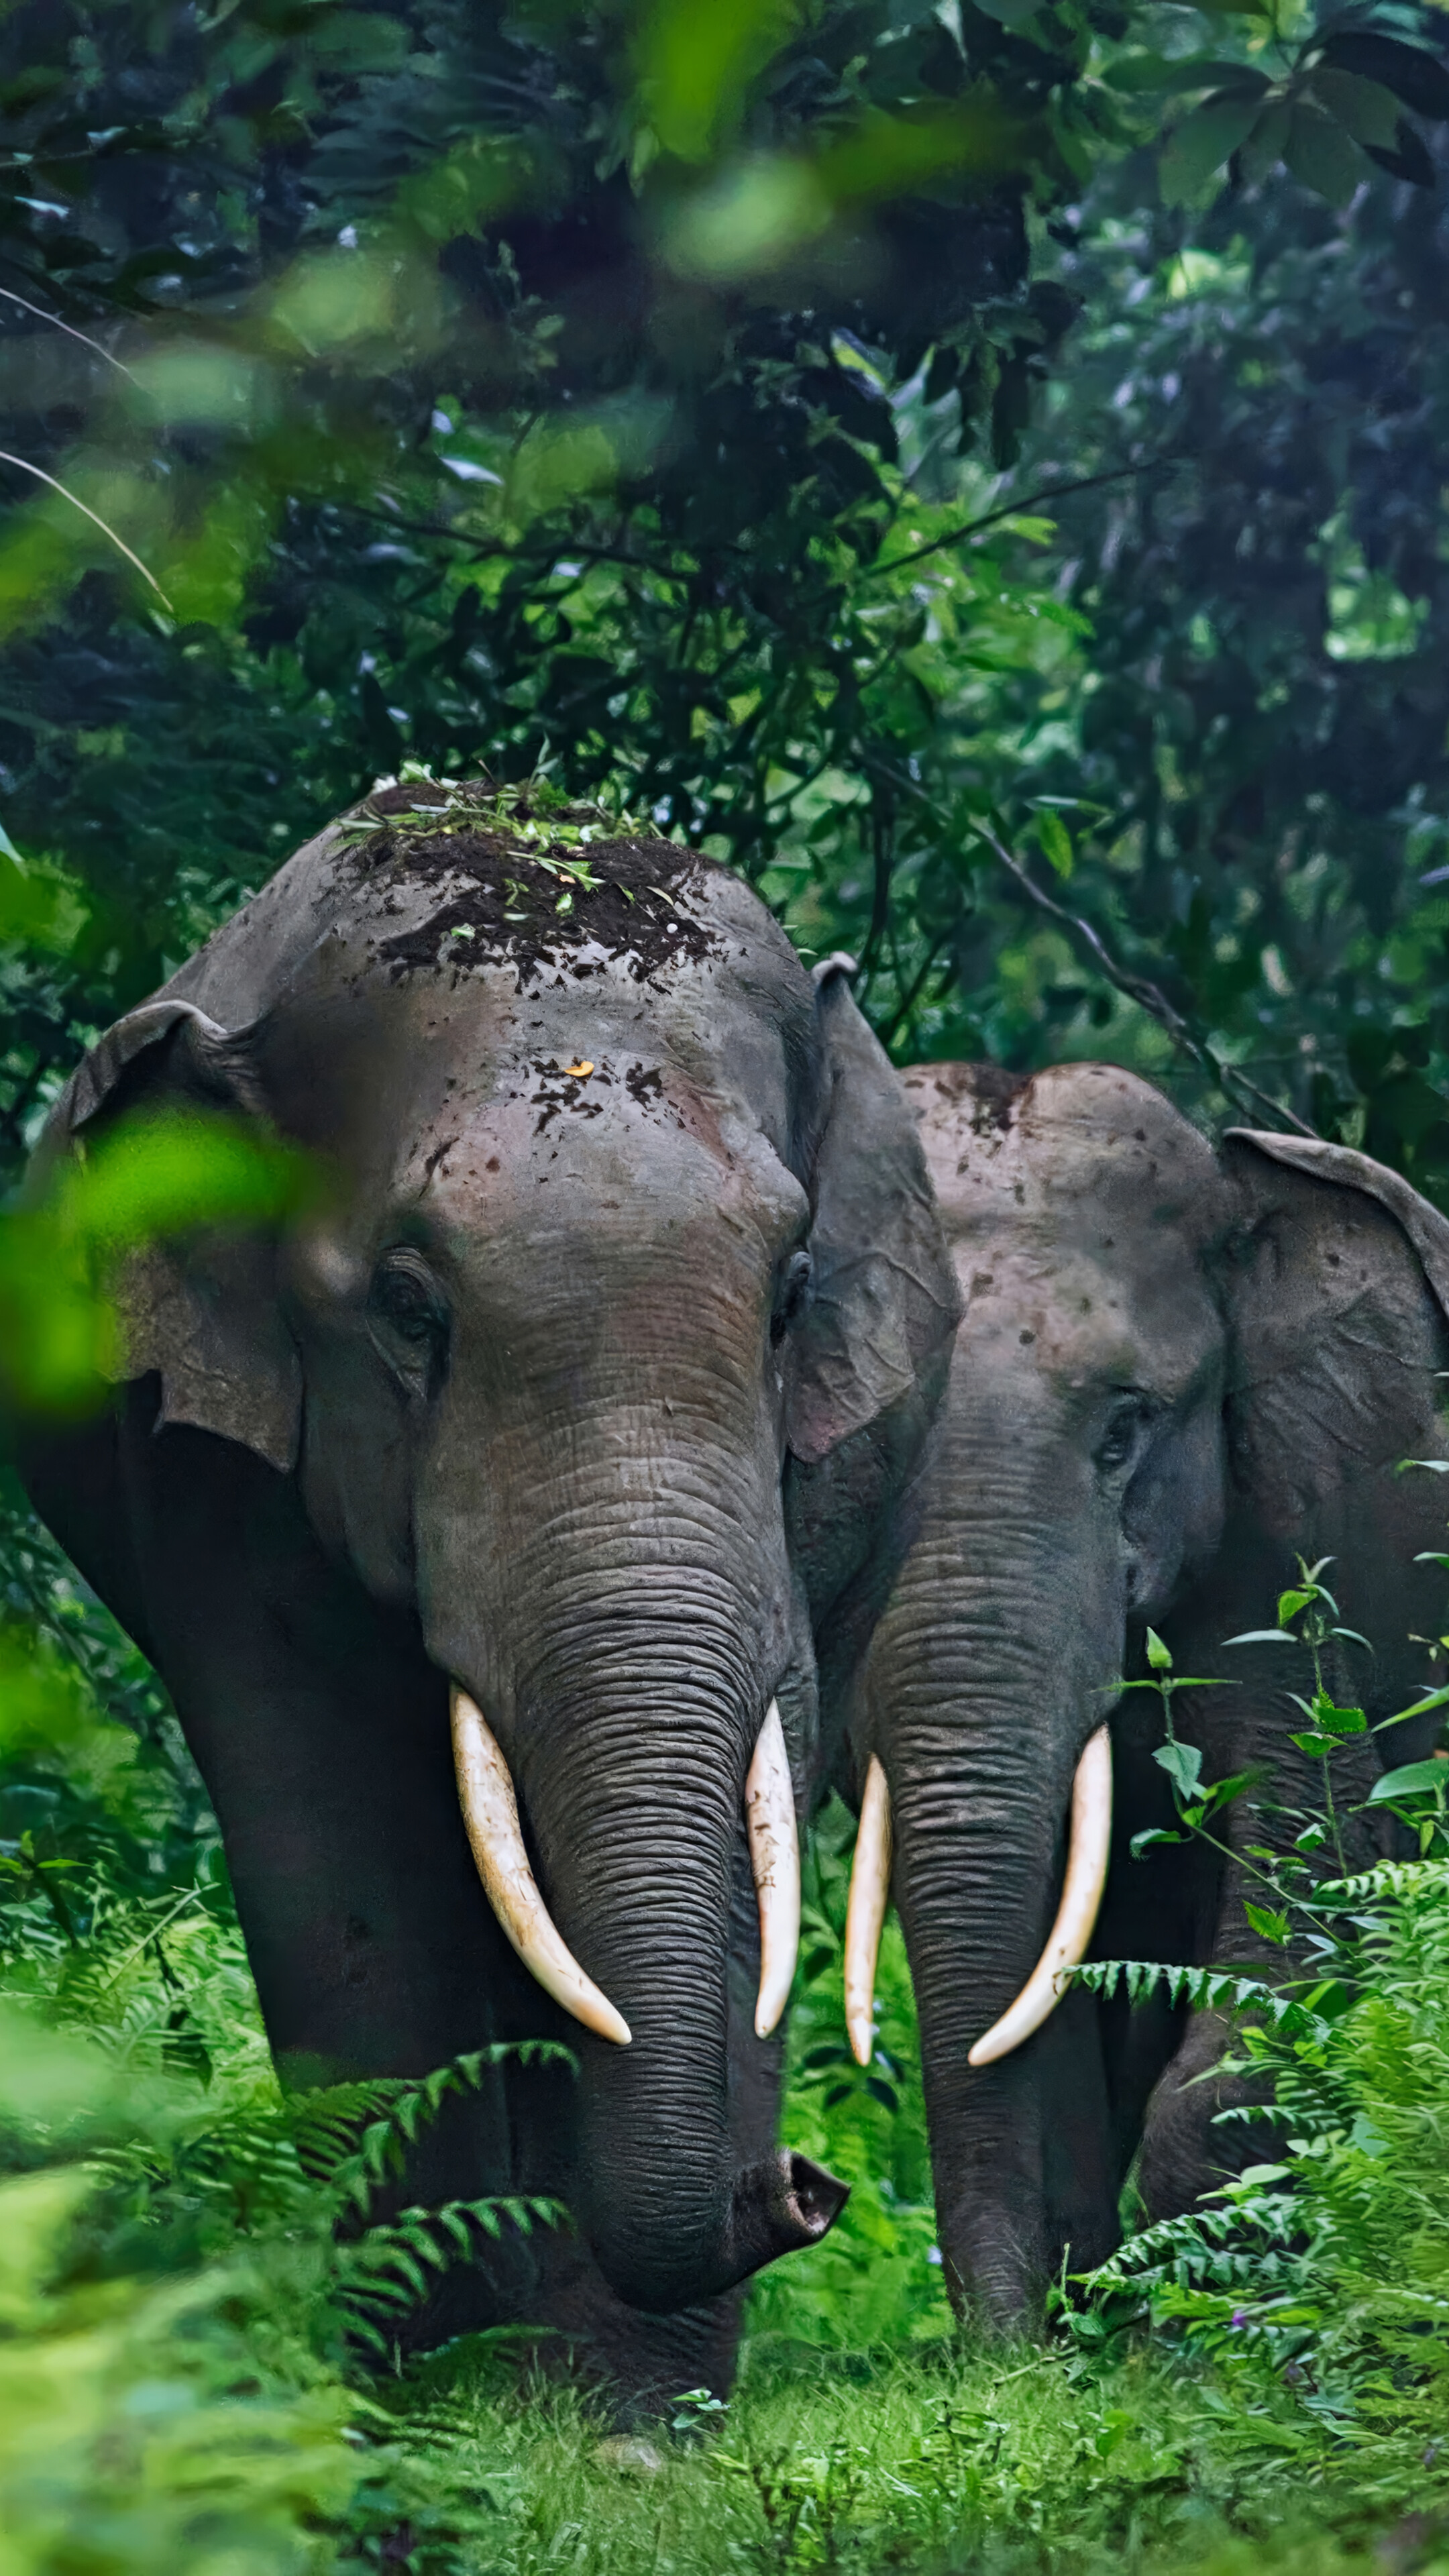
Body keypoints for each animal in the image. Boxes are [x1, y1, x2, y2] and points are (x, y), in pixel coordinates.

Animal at [20, 779, 959, 2407]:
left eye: (790, 1299)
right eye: (409, 1310)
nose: (803, 2186)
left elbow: (750, 1818)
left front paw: (630, 2420)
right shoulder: (205, 1476)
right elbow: (339, 1840)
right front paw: (428, 2385)